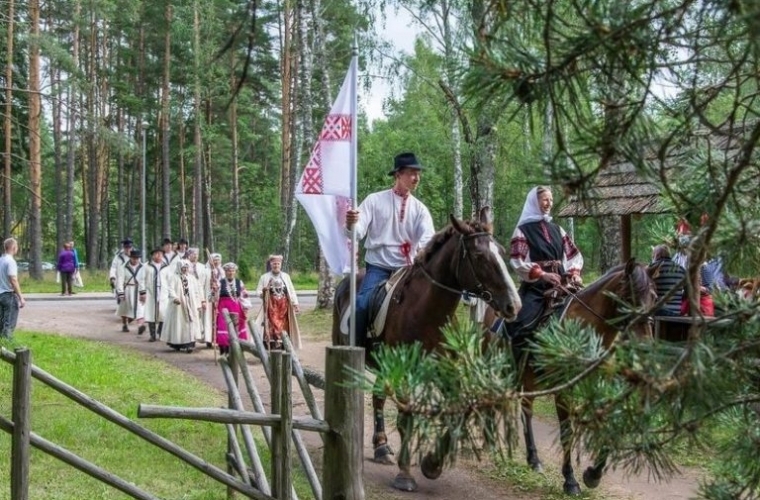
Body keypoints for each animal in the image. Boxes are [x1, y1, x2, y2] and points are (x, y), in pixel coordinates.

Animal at [332, 208, 524, 492]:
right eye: (479, 256)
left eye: (500, 251)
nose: (513, 305)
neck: (427, 312)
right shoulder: (404, 370)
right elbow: (406, 416)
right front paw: (405, 474)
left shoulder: (445, 370)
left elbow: (459, 411)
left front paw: (432, 463)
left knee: (378, 397)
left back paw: (381, 446)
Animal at [484, 260, 656, 494]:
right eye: (629, 296)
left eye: (654, 297)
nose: (645, 345)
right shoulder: (565, 390)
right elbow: (567, 432)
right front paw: (570, 480)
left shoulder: (601, 388)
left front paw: (593, 474)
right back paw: (490, 442)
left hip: (529, 378)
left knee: (526, 409)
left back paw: (533, 459)